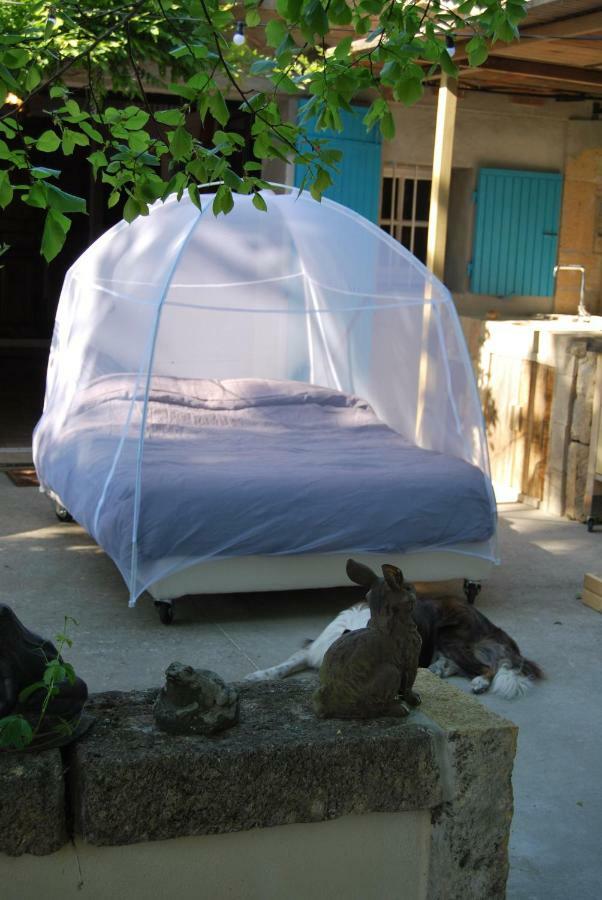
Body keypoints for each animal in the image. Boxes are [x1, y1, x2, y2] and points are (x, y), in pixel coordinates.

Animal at [244, 580, 540, 700]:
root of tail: (489, 623)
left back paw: (478, 682)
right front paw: (257, 676)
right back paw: (441, 668)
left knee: (487, 667)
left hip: (450, 635)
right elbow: (283, 665)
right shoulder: (312, 649)